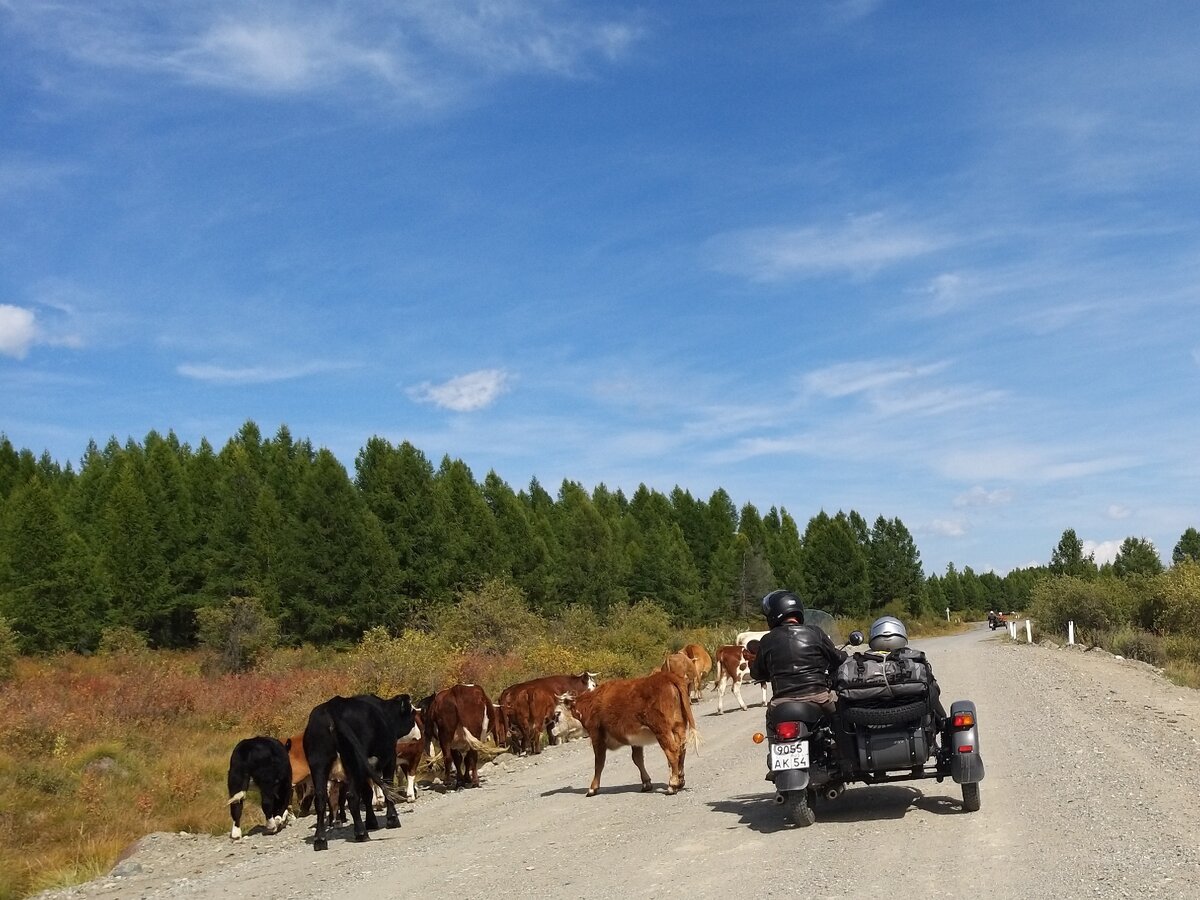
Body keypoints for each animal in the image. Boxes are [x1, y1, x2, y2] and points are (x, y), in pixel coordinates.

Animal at [302, 696, 420, 849]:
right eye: (412, 712)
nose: (418, 735)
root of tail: (331, 707)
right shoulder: (390, 759)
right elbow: (386, 785)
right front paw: (392, 819)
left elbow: (367, 793)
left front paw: (371, 821)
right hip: (354, 762)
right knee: (352, 796)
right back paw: (361, 833)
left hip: (319, 763)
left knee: (321, 798)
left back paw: (320, 839)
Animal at [554, 672, 700, 801]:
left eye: (557, 713)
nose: (553, 731)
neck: (590, 703)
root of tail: (666, 676)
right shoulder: (635, 740)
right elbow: (637, 759)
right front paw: (646, 783)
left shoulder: (596, 735)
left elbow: (599, 762)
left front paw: (592, 788)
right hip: (679, 727)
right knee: (681, 750)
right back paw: (680, 780)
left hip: (662, 729)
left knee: (672, 751)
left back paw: (673, 784)